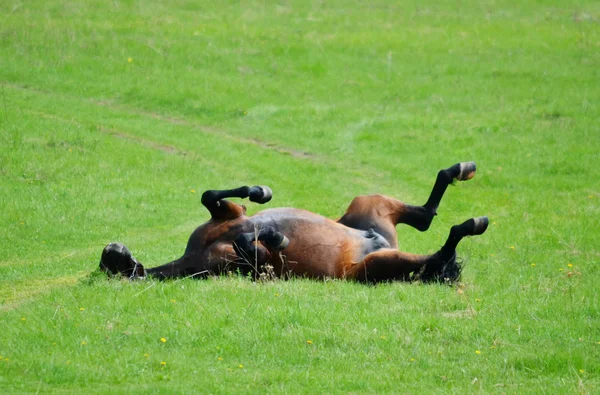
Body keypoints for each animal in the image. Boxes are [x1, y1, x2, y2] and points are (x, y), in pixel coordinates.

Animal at [99, 162, 488, 284]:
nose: (114, 247)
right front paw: (274, 236)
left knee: (424, 217)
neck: (193, 257)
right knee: (436, 255)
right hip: (375, 264)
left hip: (368, 204)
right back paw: (471, 225)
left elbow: (212, 196)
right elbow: (251, 247)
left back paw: (463, 171)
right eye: (111, 262)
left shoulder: (230, 215)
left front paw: (261, 193)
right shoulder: (245, 265)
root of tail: (378, 242)